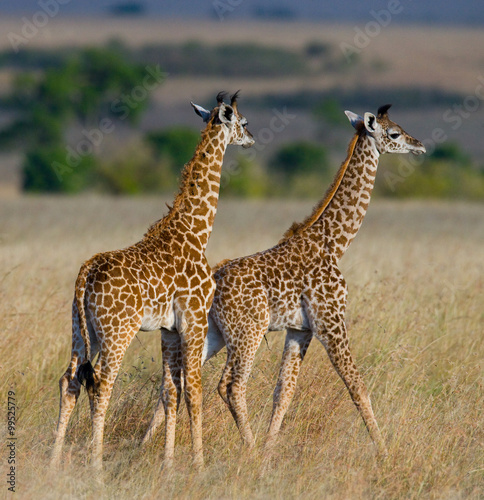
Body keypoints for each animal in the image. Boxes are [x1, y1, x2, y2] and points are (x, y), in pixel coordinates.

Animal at [51, 92, 255, 470]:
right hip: (118, 331)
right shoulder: (195, 320)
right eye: (244, 122)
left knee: (69, 380)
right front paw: (198, 465)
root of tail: (86, 272)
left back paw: (54, 462)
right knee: (101, 384)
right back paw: (97, 466)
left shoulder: (169, 330)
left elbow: (171, 391)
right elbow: (193, 390)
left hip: (81, 330)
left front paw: (169, 464)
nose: (251, 139)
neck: (196, 233)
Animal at [143, 103, 424, 456]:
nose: (420, 145)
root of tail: (210, 283)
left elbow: (284, 393)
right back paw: (245, 451)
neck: (334, 242)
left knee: (174, 383)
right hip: (248, 332)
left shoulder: (299, 329)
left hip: (210, 334)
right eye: (395, 133)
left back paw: (143, 446)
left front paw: (268, 453)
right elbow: (357, 385)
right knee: (231, 385)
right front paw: (384, 454)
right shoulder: (330, 321)